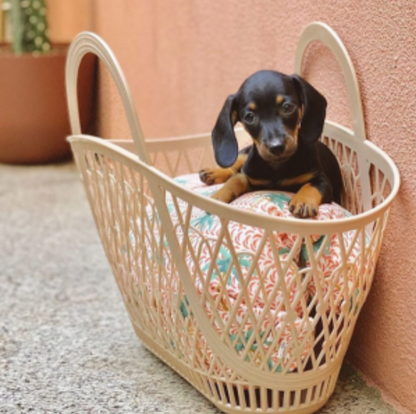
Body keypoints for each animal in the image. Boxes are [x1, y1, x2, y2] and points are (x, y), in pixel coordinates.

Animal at [200, 70, 342, 220]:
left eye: (287, 107)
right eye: (249, 117)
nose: (276, 147)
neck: (277, 167)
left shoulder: (323, 180)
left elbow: (311, 185)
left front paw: (303, 201)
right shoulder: (251, 178)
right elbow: (237, 178)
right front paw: (219, 195)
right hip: (247, 154)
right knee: (237, 162)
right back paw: (213, 172)